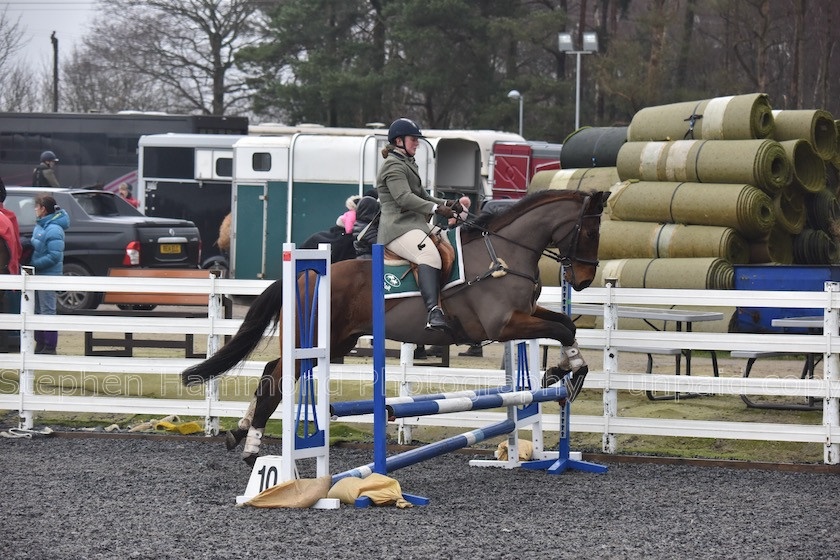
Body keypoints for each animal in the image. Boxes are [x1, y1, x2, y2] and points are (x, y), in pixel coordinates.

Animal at [180, 188, 608, 464]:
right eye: (590, 231)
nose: (585, 279)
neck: (503, 253)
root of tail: (304, 274)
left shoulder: (526, 315)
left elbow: (565, 324)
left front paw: (564, 370)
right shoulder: (503, 326)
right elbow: (561, 329)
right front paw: (567, 372)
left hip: (333, 343)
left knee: (273, 373)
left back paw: (240, 431)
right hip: (314, 340)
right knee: (275, 380)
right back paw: (252, 450)